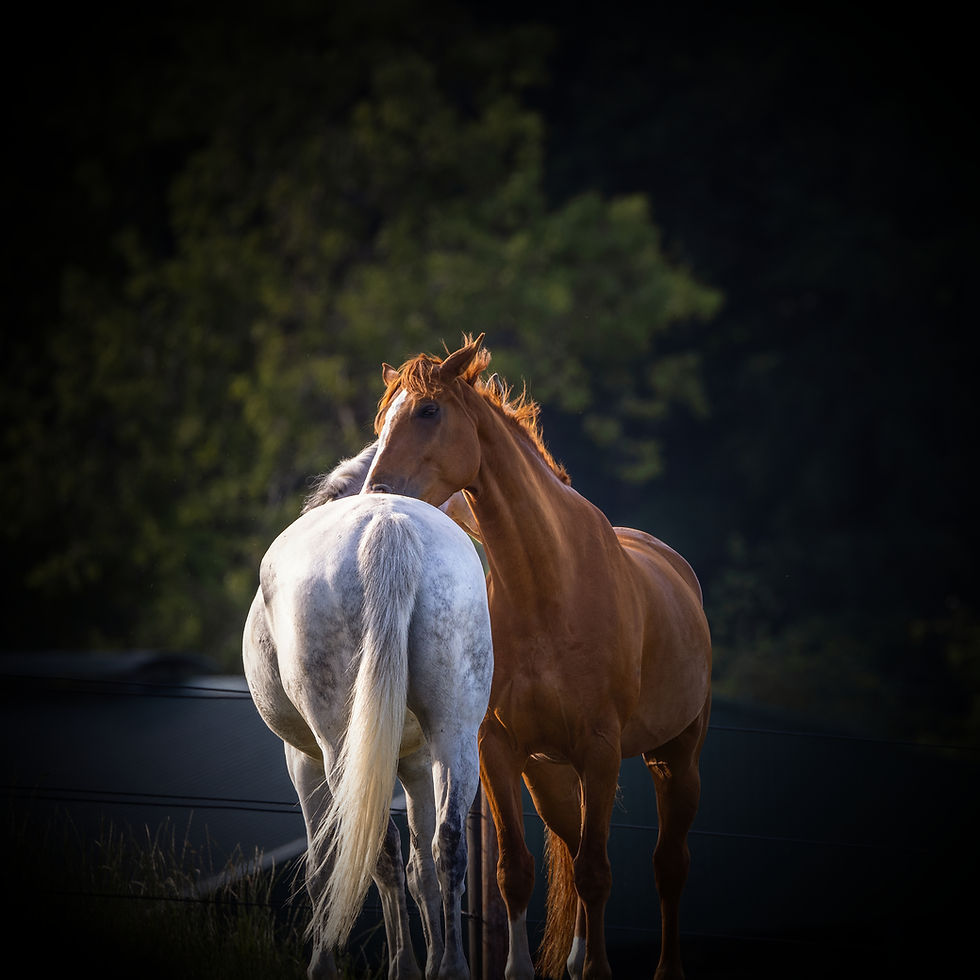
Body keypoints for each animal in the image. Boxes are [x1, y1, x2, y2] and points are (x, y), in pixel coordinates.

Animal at [242, 445, 494, 980]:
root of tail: (387, 526)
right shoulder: (417, 763)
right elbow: (423, 869)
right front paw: (435, 959)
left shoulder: (303, 761)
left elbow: (322, 869)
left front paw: (321, 963)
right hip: (455, 735)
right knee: (447, 842)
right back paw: (450, 967)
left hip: (339, 748)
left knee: (374, 848)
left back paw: (401, 966)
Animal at [363, 335, 712, 980]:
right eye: (382, 420)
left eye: (428, 411)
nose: (376, 494)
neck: (549, 587)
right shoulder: (500, 751)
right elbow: (518, 872)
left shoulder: (601, 749)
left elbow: (598, 873)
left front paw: (597, 970)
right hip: (551, 773)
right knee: (572, 850)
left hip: (675, 757)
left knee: (667, 863)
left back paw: (662, 968)